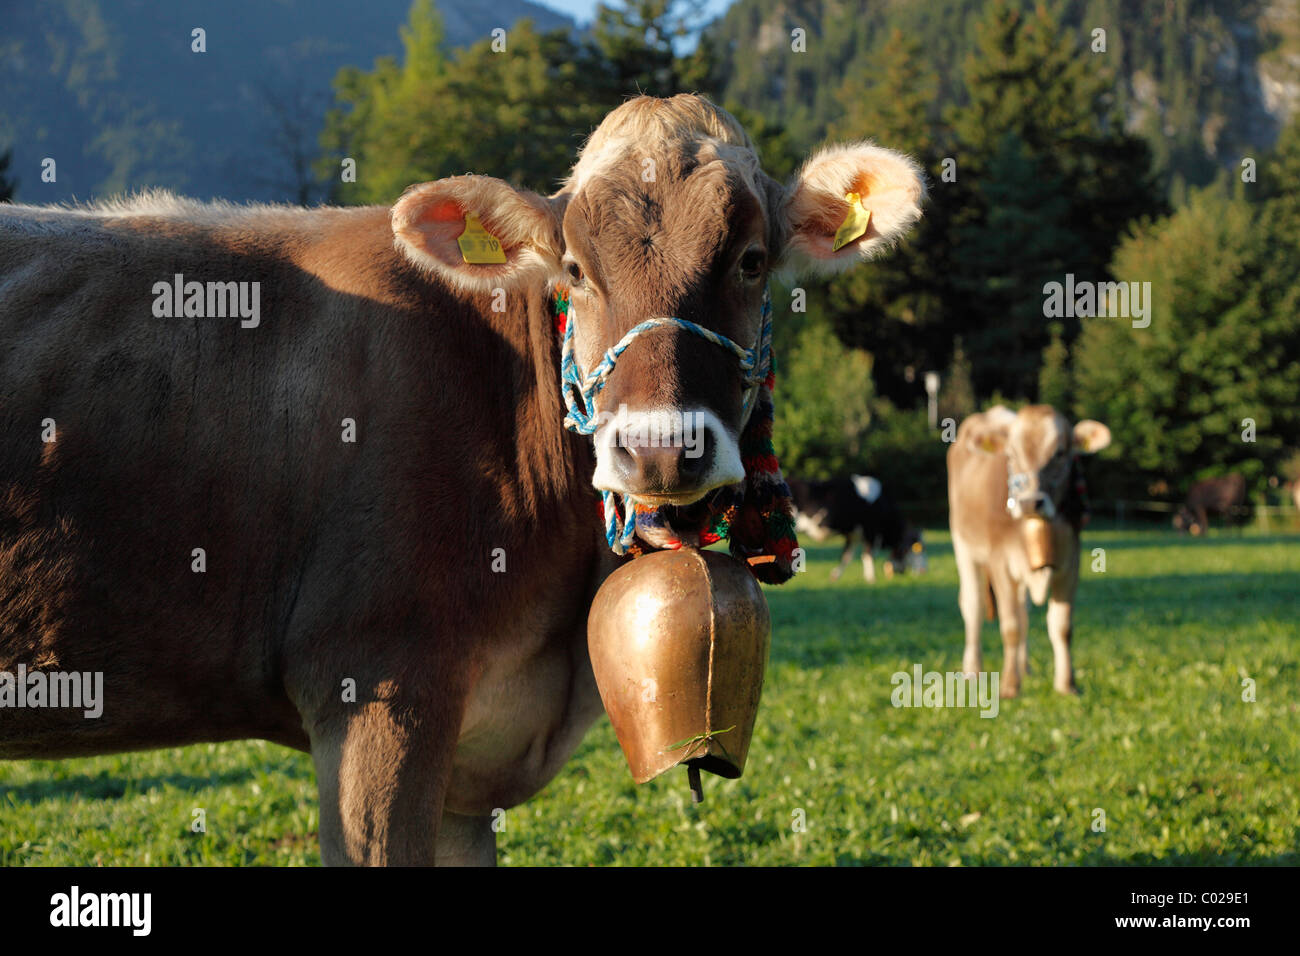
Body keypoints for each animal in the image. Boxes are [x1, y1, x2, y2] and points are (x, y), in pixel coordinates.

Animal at [780, 476, 925, 582]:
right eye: (918, 549)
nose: (923, 571)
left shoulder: (853, 534)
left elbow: (846, 556)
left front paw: (834, 576)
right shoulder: (871, 531)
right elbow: (868, 555)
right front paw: (871, 579)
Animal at [946, 403, 1107, 697]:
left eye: (1060, 453)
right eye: (1010, 455)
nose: (1031, 502)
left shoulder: (1071, 561)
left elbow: (1062, 626)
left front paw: (1067, 685)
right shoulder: (1000, 562)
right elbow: (1011, 626)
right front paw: (1010, 687)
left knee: (1024, 611)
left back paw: (1025, 667)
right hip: (963, 547)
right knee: (973, 606)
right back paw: (973, 671)